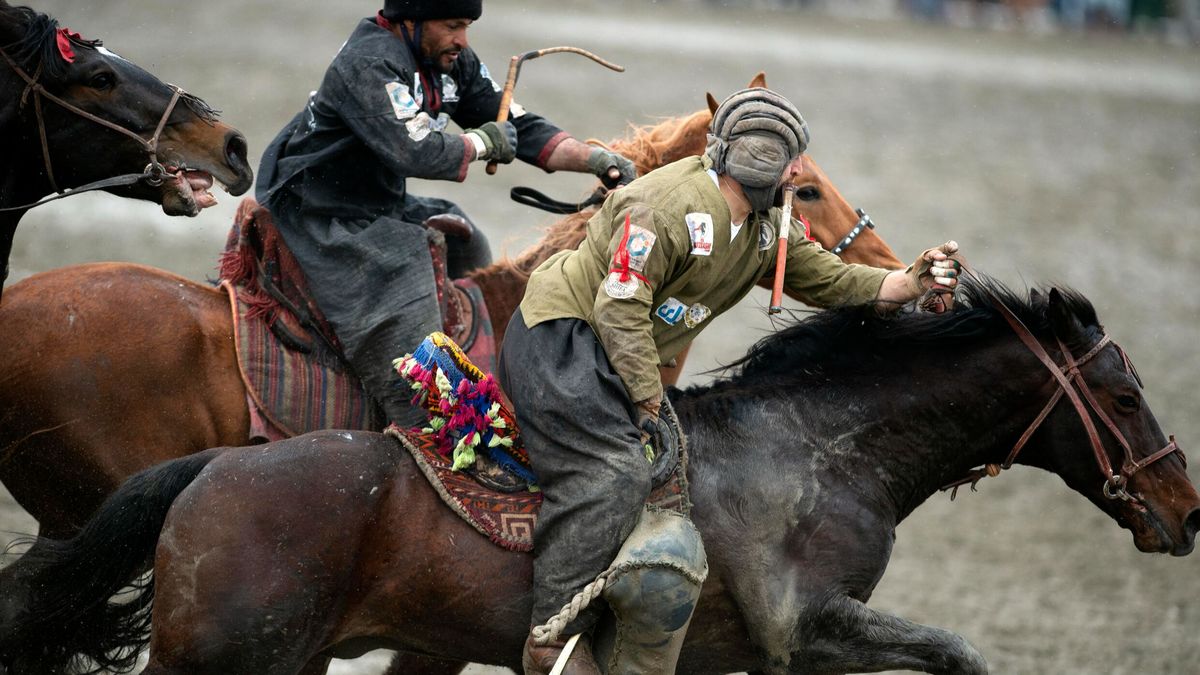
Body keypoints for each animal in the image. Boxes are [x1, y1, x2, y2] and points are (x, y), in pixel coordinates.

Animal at [4, 275, 1195, 672]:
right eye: (1122, 393)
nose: (1185, 507)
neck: (819, 449)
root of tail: (212, 469)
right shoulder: (808, 629)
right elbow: (957, 651)